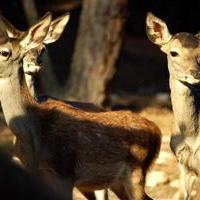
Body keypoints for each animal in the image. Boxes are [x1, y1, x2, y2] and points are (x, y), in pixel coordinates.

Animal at [0, 11, 161, 199]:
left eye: (4, 52)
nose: (34, 64)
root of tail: (157, 131)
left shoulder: (64, 171)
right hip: (116, 181)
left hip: (135, 171)